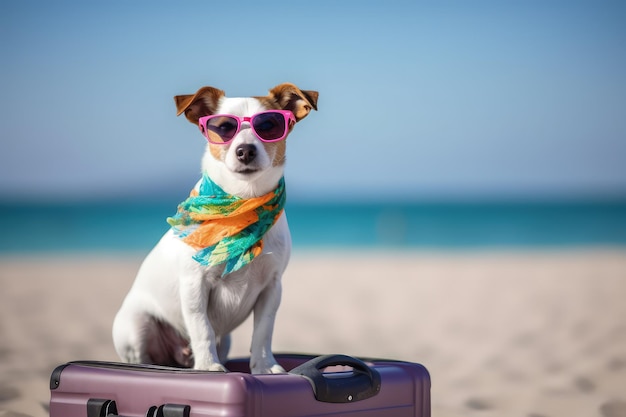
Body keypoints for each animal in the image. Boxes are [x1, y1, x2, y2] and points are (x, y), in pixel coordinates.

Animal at [111, 83, 316, 372]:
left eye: (268, 125)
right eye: (222, 127)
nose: (245, 150)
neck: (243, 202)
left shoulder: (271, 288)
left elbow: (263, 331)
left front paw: (264, 366)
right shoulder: (194, 286)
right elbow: (202, 329)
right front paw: (209, 367)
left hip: (225, 340)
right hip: (135, 327)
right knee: (144, 357)